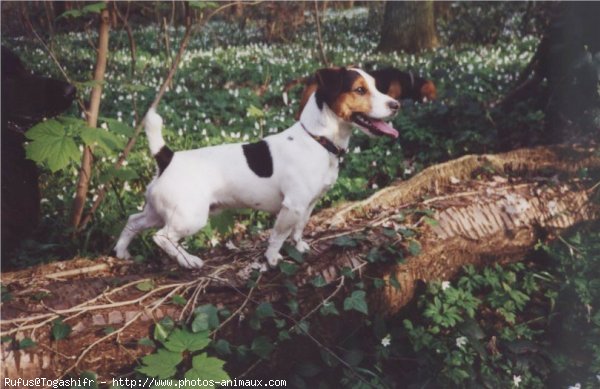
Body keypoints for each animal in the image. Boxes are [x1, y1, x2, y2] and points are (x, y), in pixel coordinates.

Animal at [115, 67, 400, 266]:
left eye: (376, 87)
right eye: (360, 90)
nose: (396, 105)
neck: (316, 139)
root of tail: (168, 157)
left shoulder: (307, 205)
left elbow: (298, 229)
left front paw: (299, 246)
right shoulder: (292, 205)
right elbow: (278, 236)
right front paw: (272, 258)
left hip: (159, 211)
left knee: (133, 221)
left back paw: (121, 251)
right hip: (190, 217)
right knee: (161, 237)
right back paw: (188, 261)